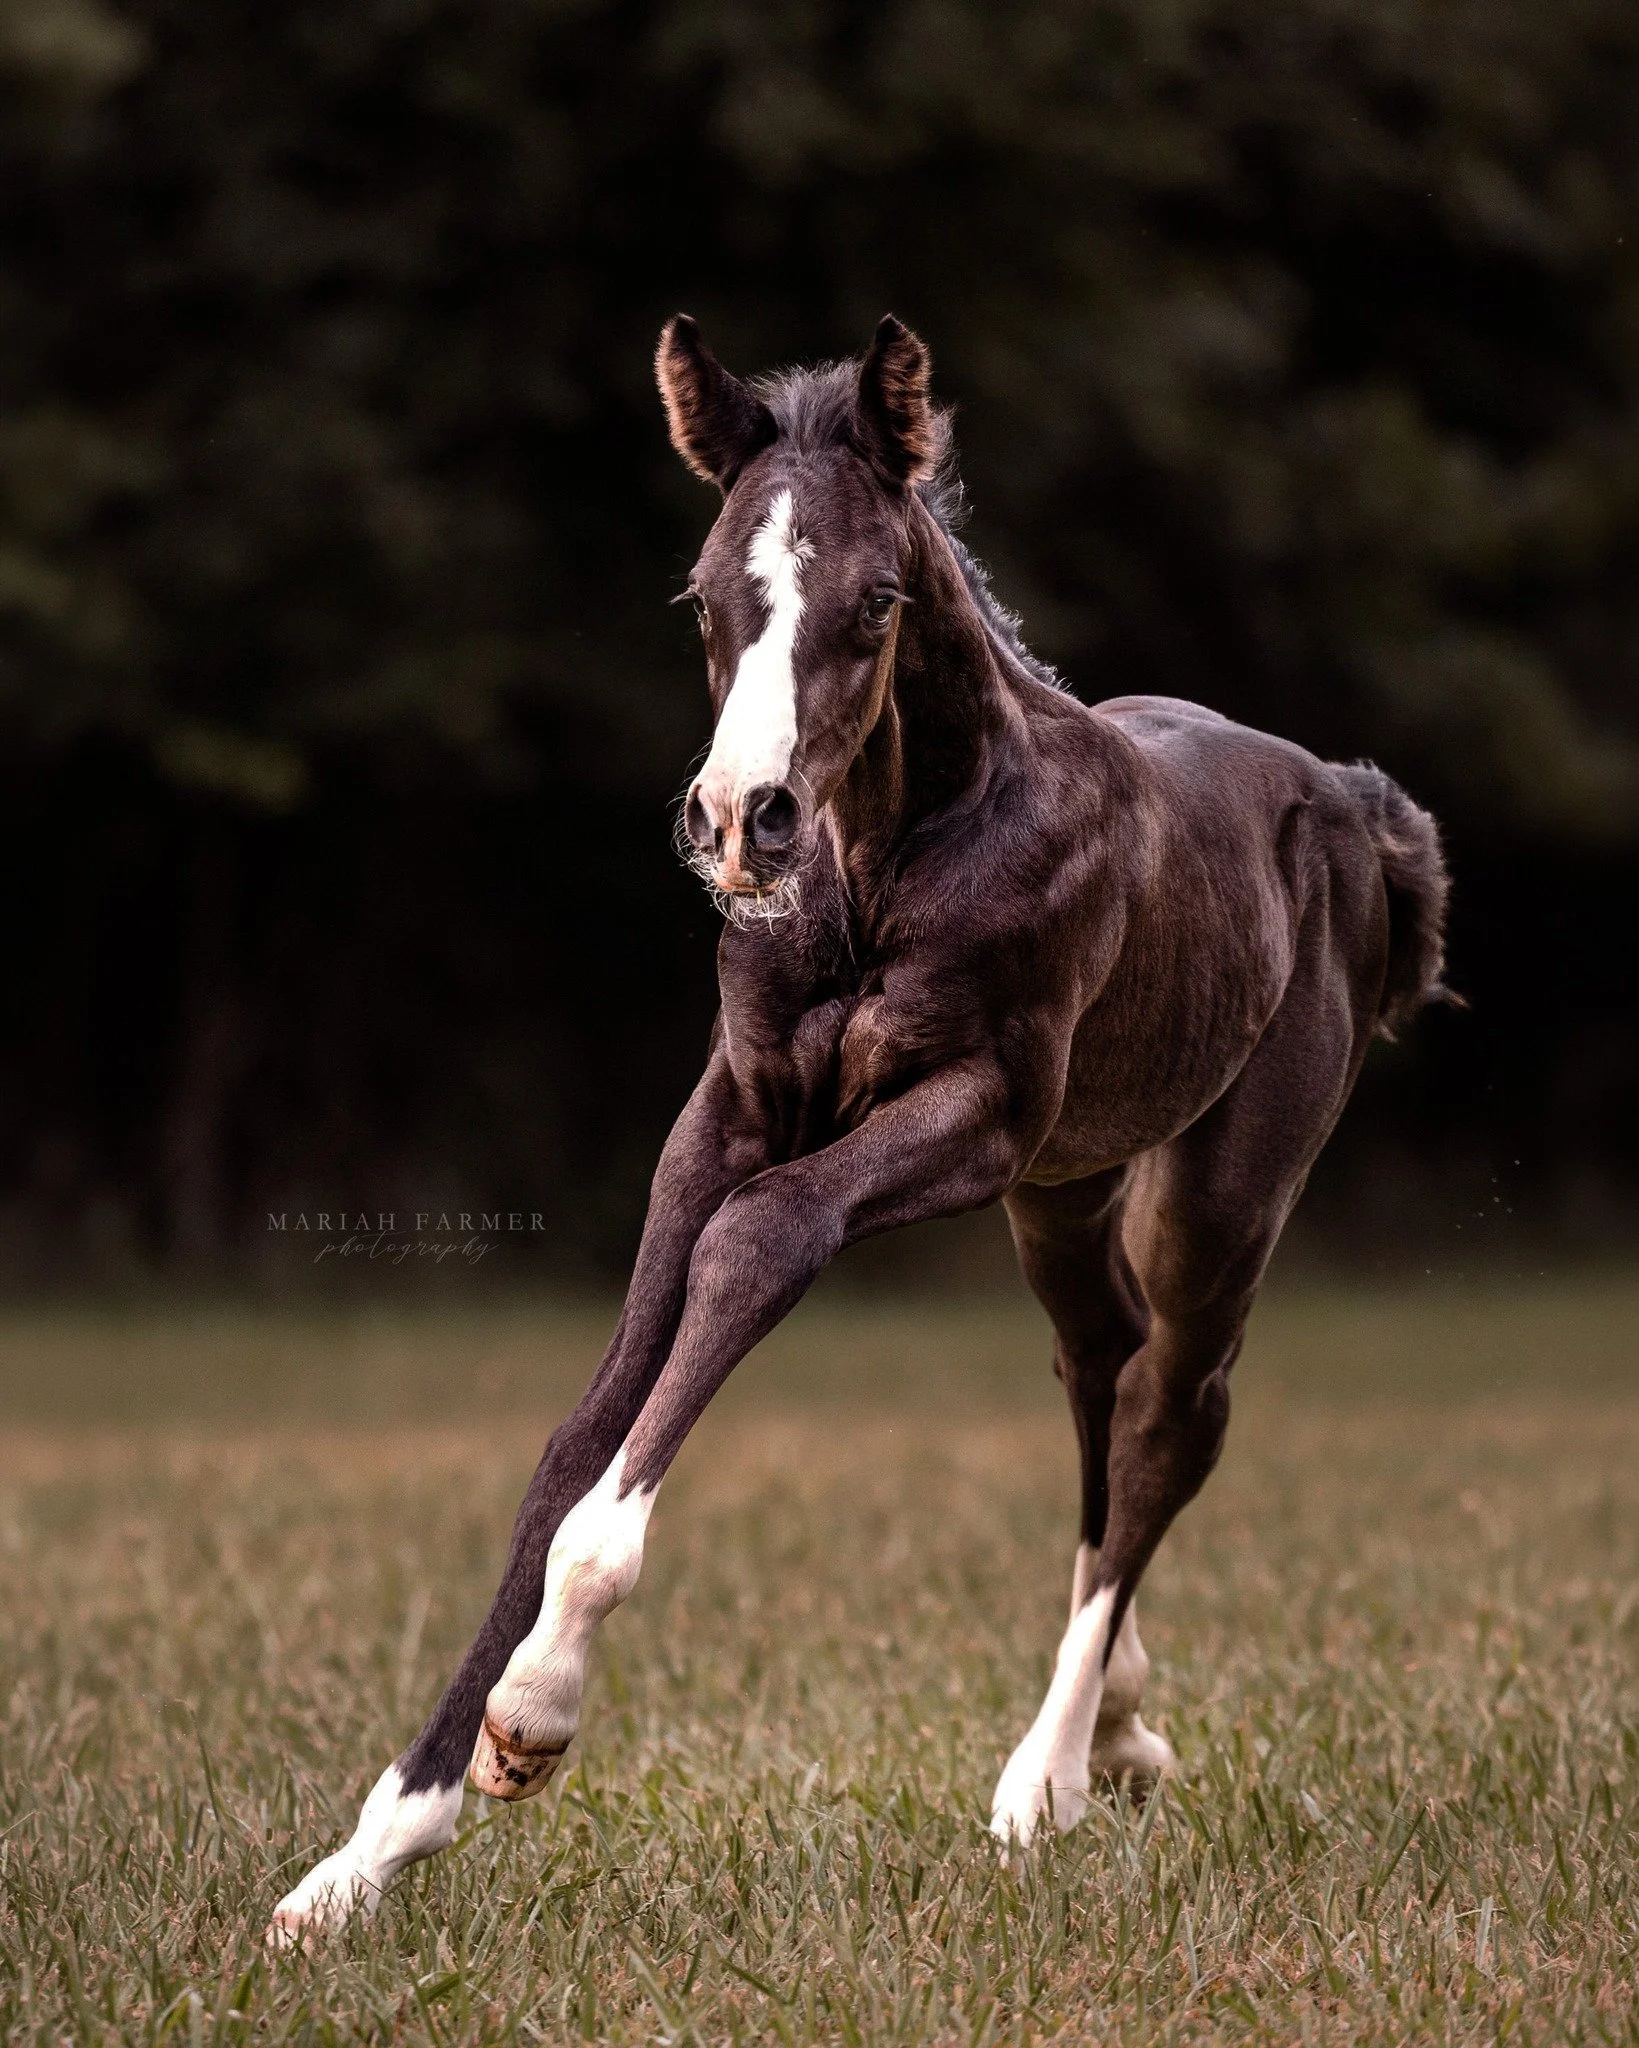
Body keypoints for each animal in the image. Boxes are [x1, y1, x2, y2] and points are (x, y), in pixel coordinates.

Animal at [270, 314, 1451, 1939]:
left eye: (877, 598)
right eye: (703, 594)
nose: (738, 818)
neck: (889, 857)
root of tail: (1341, 795)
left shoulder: (974, 1113)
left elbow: (758, 1245)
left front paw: (540, 1707)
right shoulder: (732, 1105)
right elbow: (583, 1429)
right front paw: (369, 1851)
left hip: (1214, 1188)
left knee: (1171, 1413)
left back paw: (1046, 1778)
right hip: (1067, 1190)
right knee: (1098, 1366)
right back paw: (1122, 1717)